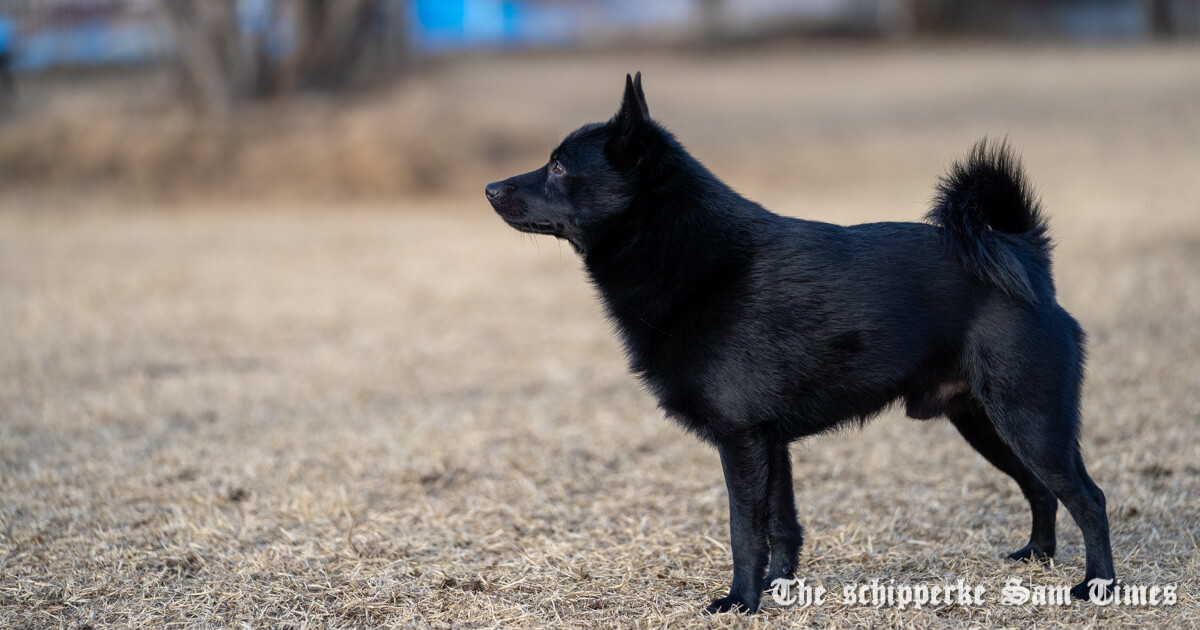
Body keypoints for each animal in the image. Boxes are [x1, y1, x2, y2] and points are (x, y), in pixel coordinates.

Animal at [484, 72, 1113, 609]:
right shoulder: (770, 441)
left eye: (559, 166)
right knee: (1041, 490)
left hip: (1028, 420)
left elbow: (744, 531)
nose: (490, 187)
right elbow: (782, 526)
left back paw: (1097, 585)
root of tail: (1024, 253)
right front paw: (780, 590)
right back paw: (1038, 557)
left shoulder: (741, 440)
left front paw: (740, 601)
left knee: (1089, 498)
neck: (699, 262)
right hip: (987, 423)